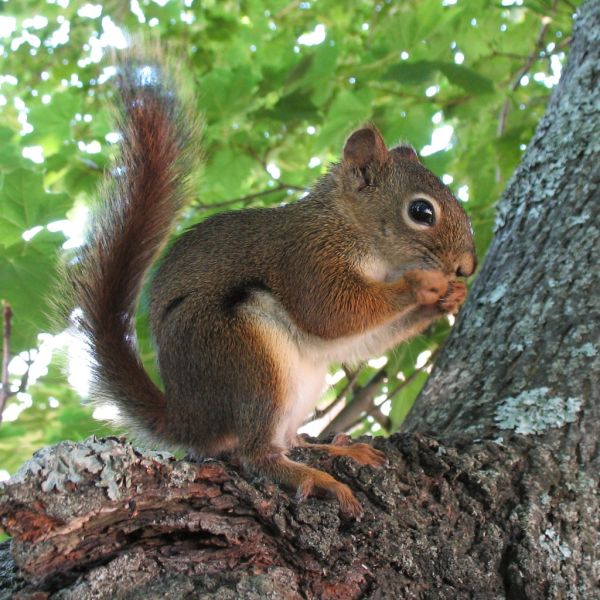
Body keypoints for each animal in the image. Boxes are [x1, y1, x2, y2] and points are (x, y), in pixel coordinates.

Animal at [63, 54, 476, 516]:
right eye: (421, 211)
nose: (467, 266)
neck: (350, 225)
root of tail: (188, 417)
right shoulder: (305, 257)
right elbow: (331, 313)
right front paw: (422, 284)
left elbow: (359, 339)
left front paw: (448, 299)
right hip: (245, 355)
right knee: (256, 454)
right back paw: (314, 477)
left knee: (289, 440)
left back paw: (336, 450)